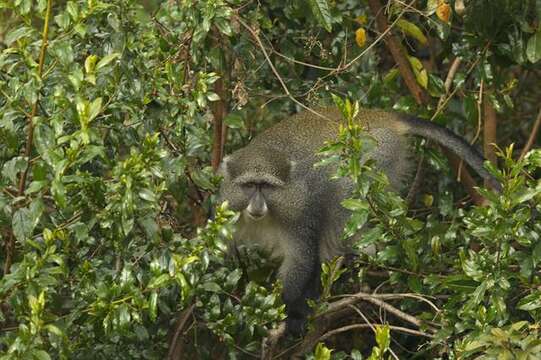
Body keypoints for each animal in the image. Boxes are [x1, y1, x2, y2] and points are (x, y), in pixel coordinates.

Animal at [217, 106, 500, 334]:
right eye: (250, 185)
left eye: (266, 186)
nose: (257, 205)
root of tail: (380, 116)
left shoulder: (300, 213)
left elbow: (302, 260)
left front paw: (284, 310)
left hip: (376, 157)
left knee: (342, 194)